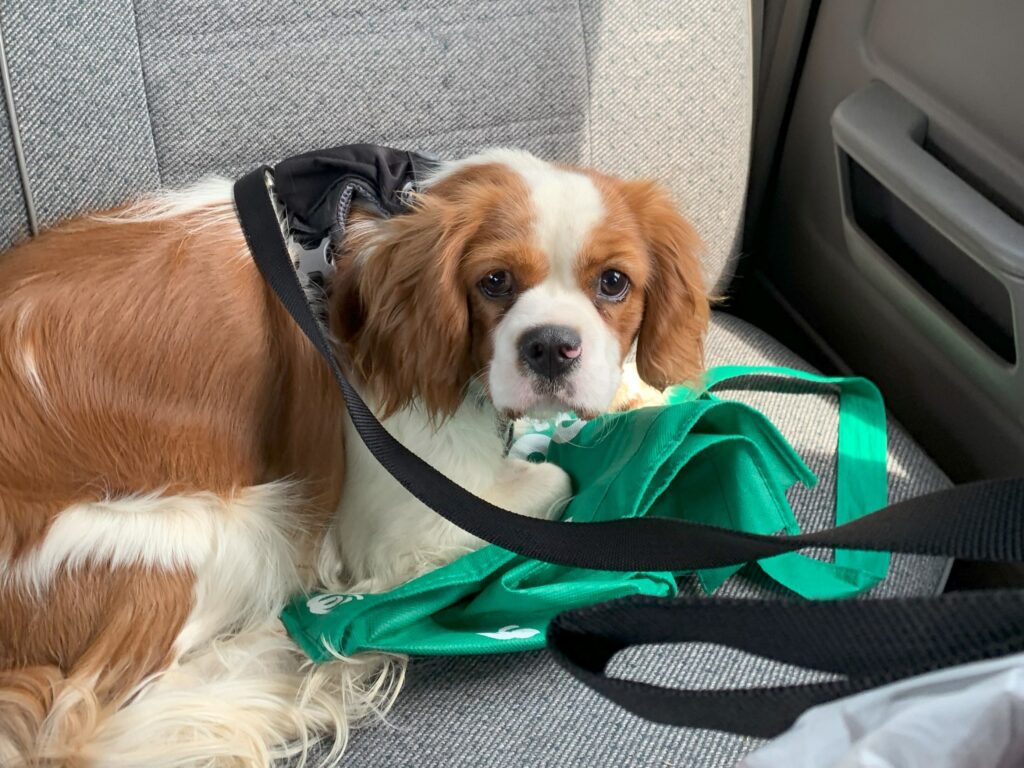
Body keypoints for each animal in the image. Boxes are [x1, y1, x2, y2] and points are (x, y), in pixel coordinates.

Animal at [0, 147, 708, 765]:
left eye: (614, 283)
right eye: (494, 281)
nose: (552, 346)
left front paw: (643, 390)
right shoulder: (410, 522)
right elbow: (555, 479)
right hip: (222, 530)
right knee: (114, 707)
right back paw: (315, 645)